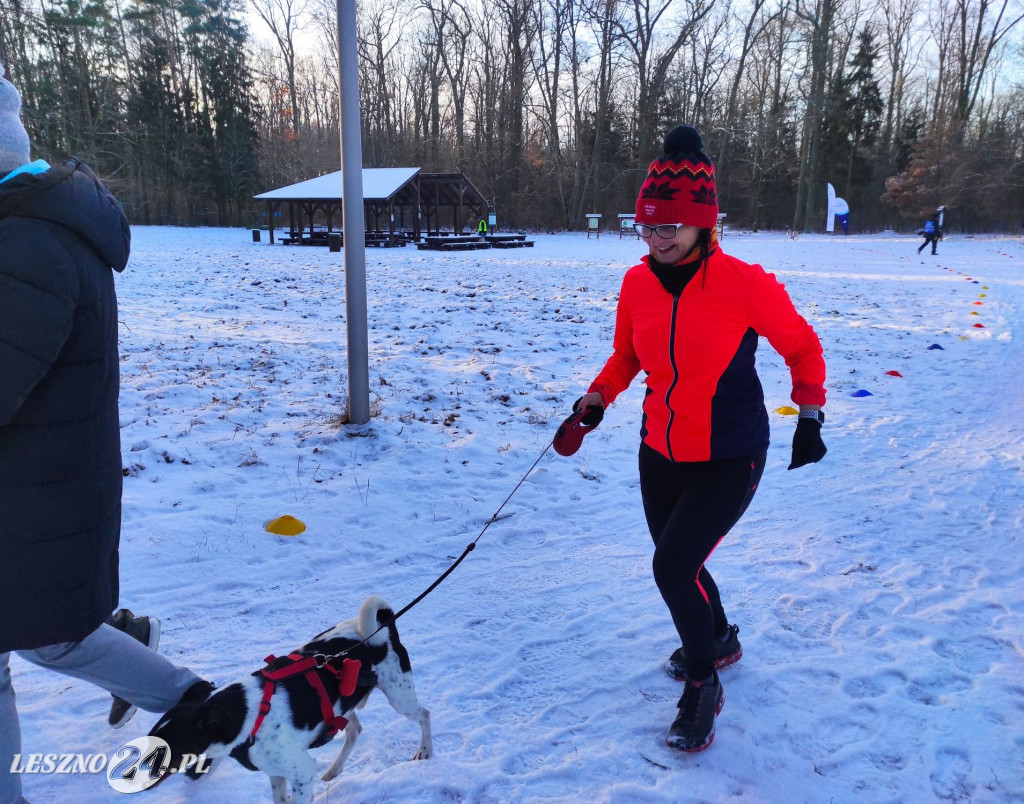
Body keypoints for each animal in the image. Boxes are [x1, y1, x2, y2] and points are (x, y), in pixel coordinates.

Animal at [149, 594, 432, 798]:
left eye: (168, 749)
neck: (247, 716)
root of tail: (385, 625)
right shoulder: (276, 772)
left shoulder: (301, 773)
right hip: (340, 704)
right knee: (354, 730)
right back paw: (334, 769)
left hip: (399, 696)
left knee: (424, 714)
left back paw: (425, 751)